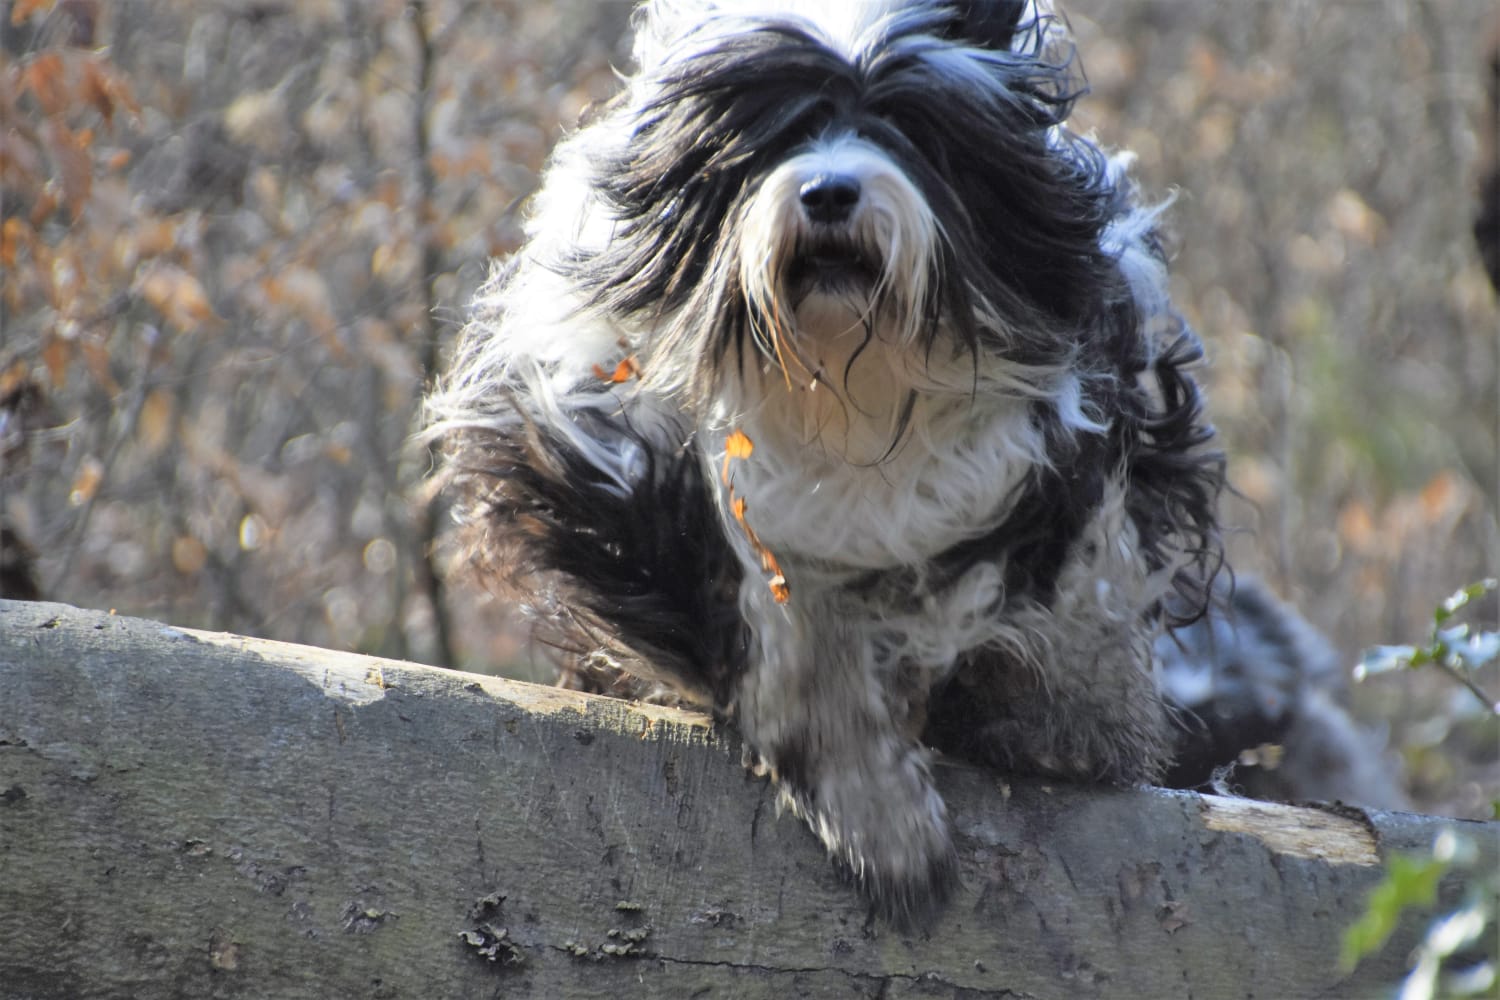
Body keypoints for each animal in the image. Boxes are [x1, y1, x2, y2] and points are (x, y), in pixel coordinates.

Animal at [426, 0, 1227, 919]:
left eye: (903, 126)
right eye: (784, 131)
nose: (830, 191)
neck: (846, 385)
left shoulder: (1050, 445)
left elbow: (1064, 575)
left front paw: (1071, 714)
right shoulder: (633, 462)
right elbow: (795, 649)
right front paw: (886, 829)